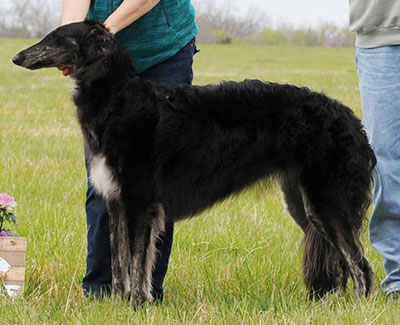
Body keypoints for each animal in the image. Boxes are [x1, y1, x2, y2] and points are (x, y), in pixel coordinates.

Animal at [12, 20, 376, 304]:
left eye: (56, 37)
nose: (17, 57)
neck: (120, 99)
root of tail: (352, 121)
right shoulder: (117, 201)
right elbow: (118, 264)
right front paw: (115, 304)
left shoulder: (140, 201)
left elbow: (136, 262)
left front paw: (136, 304)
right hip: (303, 204)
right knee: (344, 262)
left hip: (328, 202)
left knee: (360, 265)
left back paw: (357, 307)